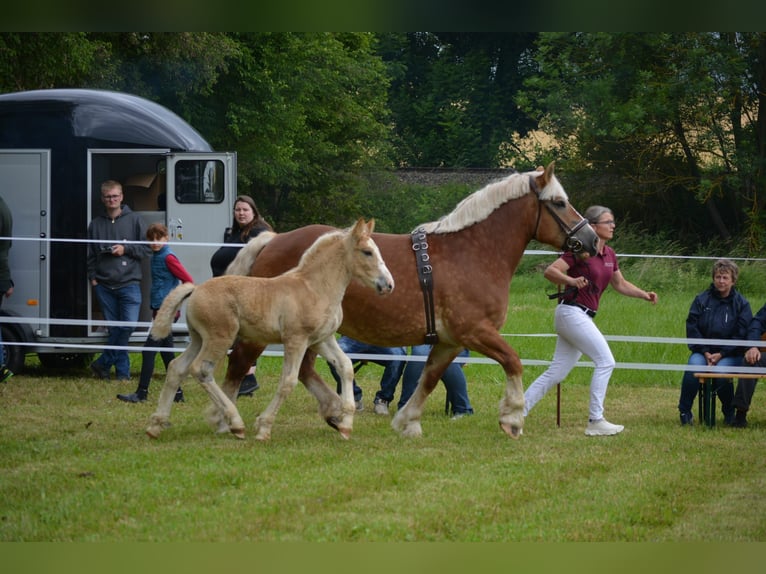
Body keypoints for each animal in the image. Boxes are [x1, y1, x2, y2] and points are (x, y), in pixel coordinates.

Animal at [145, 218, 394, 441]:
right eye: (367, 252)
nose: (388, 285)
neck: (314, 287)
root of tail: (196, 290)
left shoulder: (322, 339)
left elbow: (346, 367)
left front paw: (345, 425)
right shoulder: (296, 340)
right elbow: (288, 381)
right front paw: (264, 428)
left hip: (198, 338)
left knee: (177, 368)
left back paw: (156, 425)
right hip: (219, 338)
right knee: (201, 370)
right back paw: (236, 424)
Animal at [223, 163, 598, 439]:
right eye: (560, 202)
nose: (592, 240)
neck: (472, 253)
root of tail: (272, 240)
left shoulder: (449, 341)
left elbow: (429, 378)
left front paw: (407, 421)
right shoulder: (476, 331)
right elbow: (513, 361)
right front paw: (513, 418)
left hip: (311, 334)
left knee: (303, 369)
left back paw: (334, 413)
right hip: (270, 333)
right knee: (239, 364)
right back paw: (227, 418)